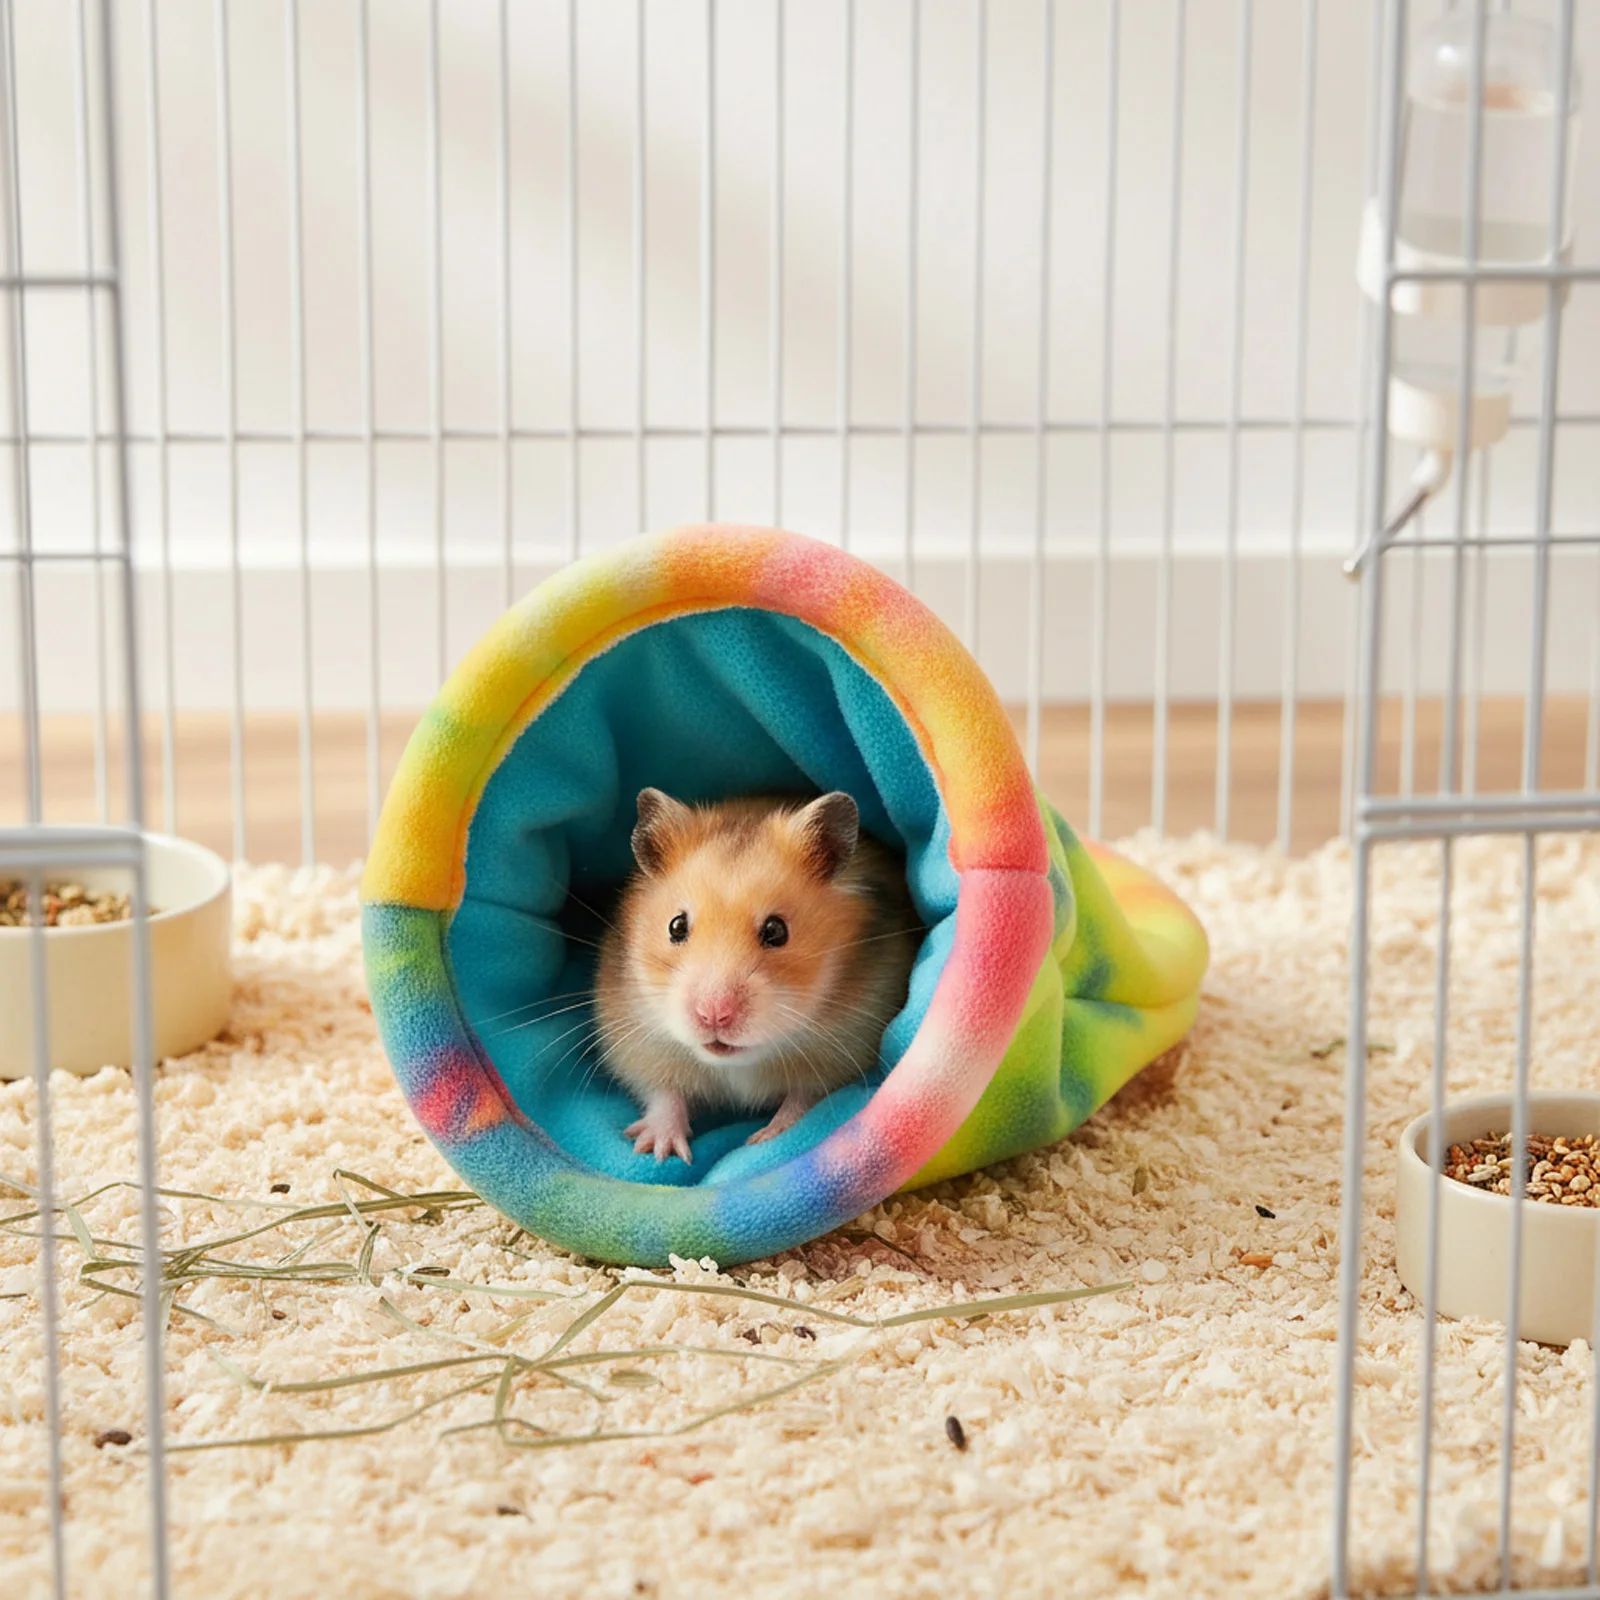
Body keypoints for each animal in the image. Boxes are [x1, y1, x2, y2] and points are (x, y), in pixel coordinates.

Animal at [594, 788, 922, 1163]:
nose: (714, 1015)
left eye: (776, 931)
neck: (738, 1064)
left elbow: (804, 1098)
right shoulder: (636, 1039)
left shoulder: (850, 1042)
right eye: (676, 926)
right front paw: (657, 1150)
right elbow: (663, 1092)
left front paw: (765, 1138)